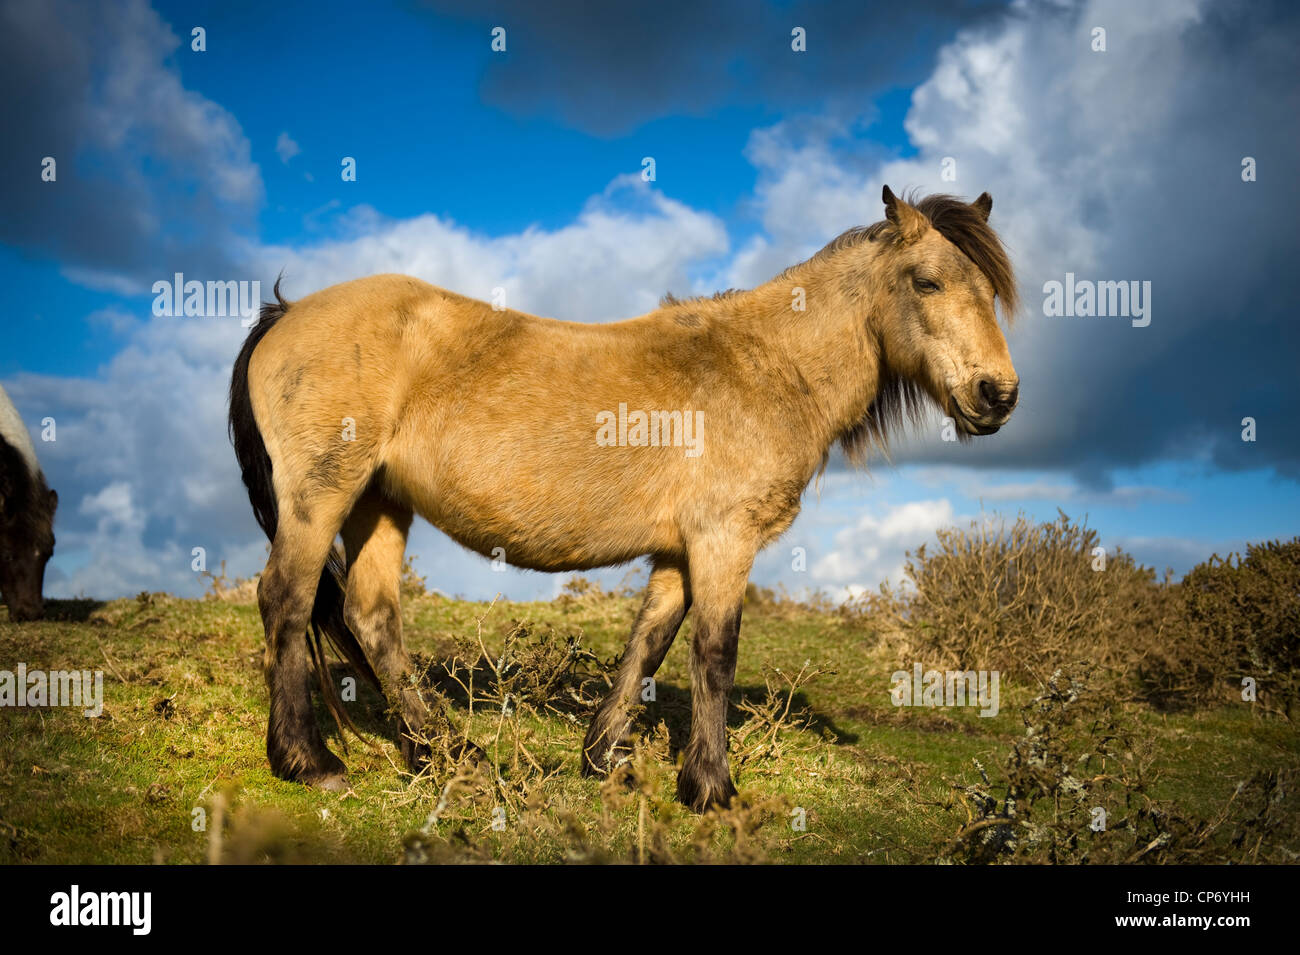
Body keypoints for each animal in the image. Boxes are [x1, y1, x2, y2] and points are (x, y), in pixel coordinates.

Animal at [228, 186, 1020, 810]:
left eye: (990, 292)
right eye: (927, 283)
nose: (998, 395)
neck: (766, 366)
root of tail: (288, 314)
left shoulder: (681, 550)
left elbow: (651, 641)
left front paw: (602, 756)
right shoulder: (724, 541)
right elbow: (714, 655)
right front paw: (711, 789)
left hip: (379, 502)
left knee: (371, 616)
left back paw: (443, 751)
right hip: (323, 495)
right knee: (287, 600)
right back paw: (309, 761)